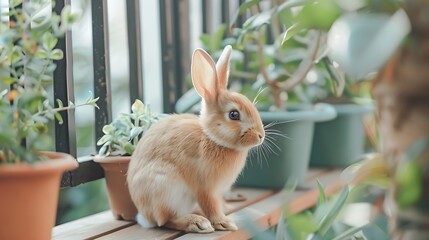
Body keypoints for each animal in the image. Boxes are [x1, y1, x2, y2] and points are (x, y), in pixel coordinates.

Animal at [126, 44, 264, 232]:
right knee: (166, 220)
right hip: (165, 189)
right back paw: (197, 223)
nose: (260, 136)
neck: (212, 138)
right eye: (234, 114)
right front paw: (224, 223)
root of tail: (144, 217)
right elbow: (211, 206)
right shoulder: (206, 189)